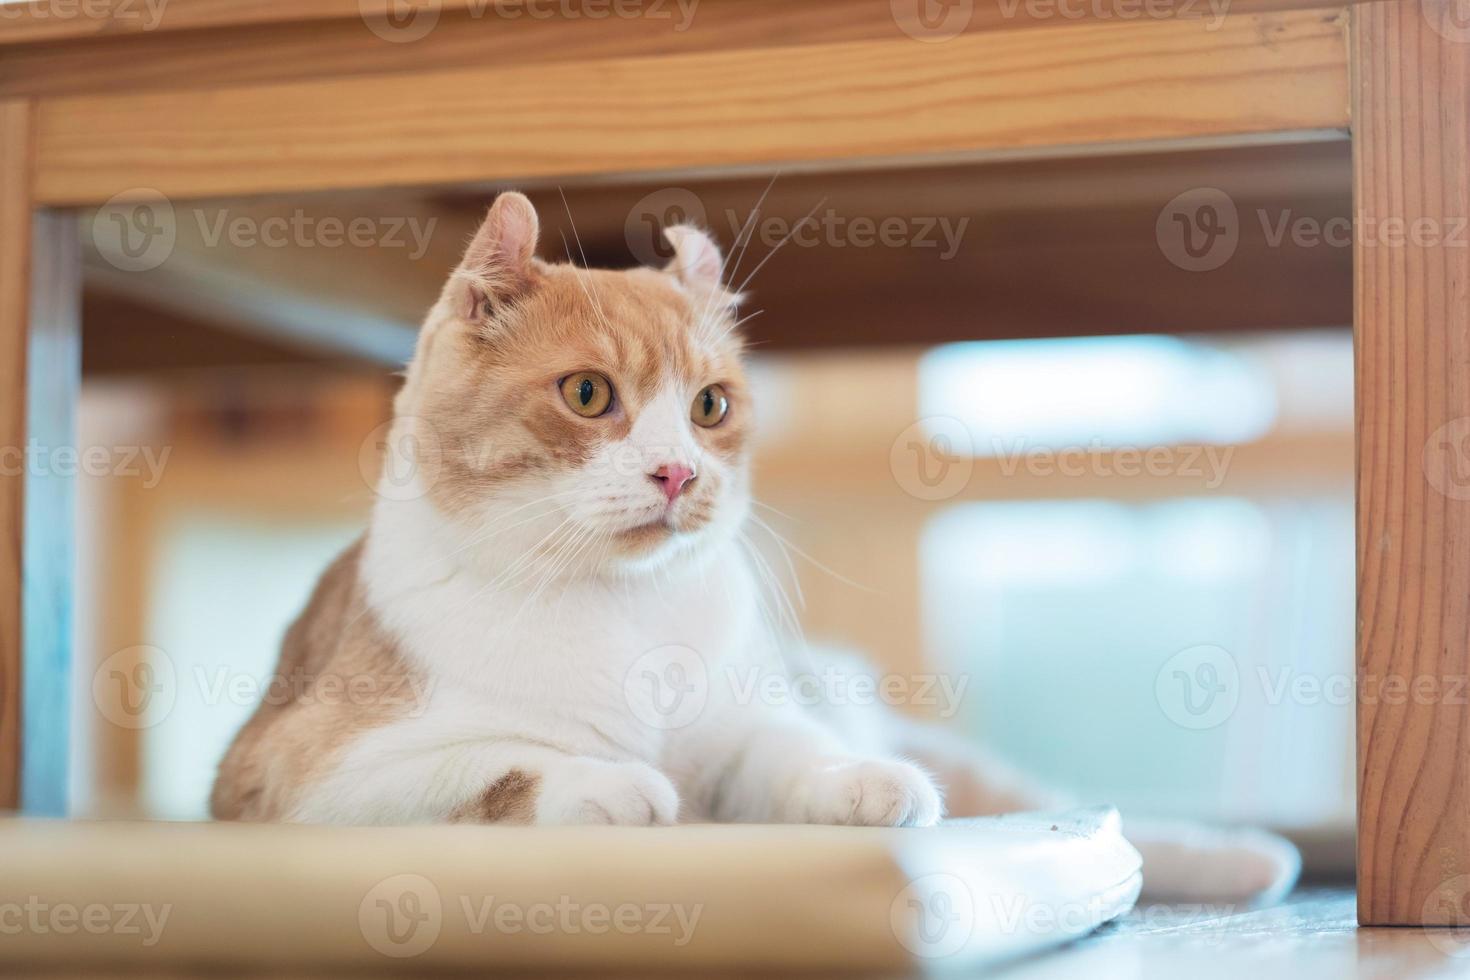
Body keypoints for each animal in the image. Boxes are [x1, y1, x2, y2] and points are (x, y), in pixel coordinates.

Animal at [214, 191, 1299, 905]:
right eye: (587, 394)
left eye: (710, 407)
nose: (678, 474)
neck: (622, 609)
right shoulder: (304, 779)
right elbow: (500, 759)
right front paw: (606, 780)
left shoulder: (749, 718)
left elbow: (791, 750)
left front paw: (859, 782)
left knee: (1072, 810)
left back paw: (1244, 858)